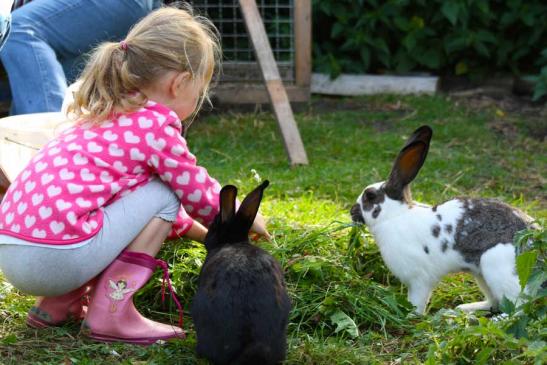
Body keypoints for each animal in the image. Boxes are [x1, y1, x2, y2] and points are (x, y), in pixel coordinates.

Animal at [354, 125, 536, 312]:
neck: (394, 216)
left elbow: (417, 302)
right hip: (482, 275)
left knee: (517, 308)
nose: (352, 212)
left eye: (370, 196)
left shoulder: (419, 280)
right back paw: (462, 310)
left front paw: (412, 315)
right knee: (494, 302)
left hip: (500, 269)